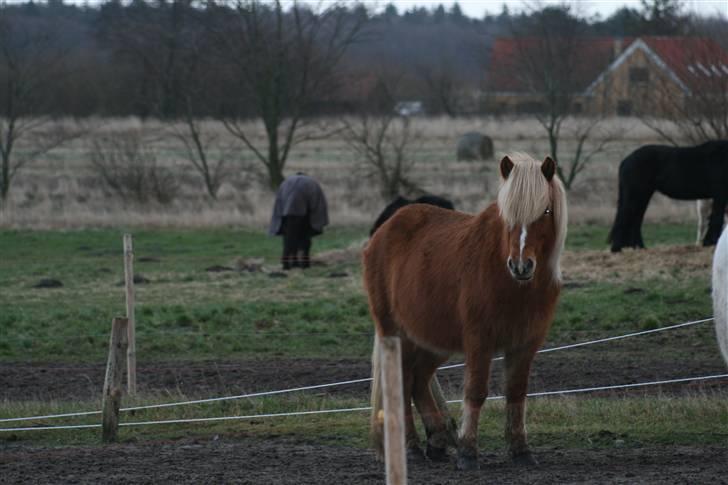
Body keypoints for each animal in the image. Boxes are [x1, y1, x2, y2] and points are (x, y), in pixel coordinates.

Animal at [366, 152, 564, 468]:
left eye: (545, 210)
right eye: (506, 214)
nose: (521, 266)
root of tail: (383, 231)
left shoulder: (525, 344)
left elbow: (516, 393)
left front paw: (521, 450)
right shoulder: (479, 340)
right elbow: (476, 392)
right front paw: (468, 451)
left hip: (432, 340)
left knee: (418, 380)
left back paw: (436, 441)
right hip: (396, 333)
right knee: (402, 381)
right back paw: (411, 448)